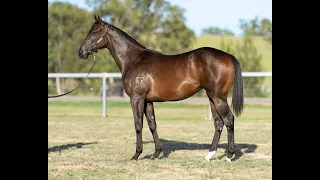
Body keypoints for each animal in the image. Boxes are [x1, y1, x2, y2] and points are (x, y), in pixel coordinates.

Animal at [79, 15, 244, 162]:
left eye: (94, 32)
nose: (81, 52)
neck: (134, 60)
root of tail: (228, 56)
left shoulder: (136, 98)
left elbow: (138, 124)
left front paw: (136, 154)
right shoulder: (148, 101)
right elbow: (152, 125)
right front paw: (156, 153)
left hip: (218, 97)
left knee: (229, 120)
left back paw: (229, 156)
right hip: (212, 98)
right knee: (218, 123)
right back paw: (209, 155)